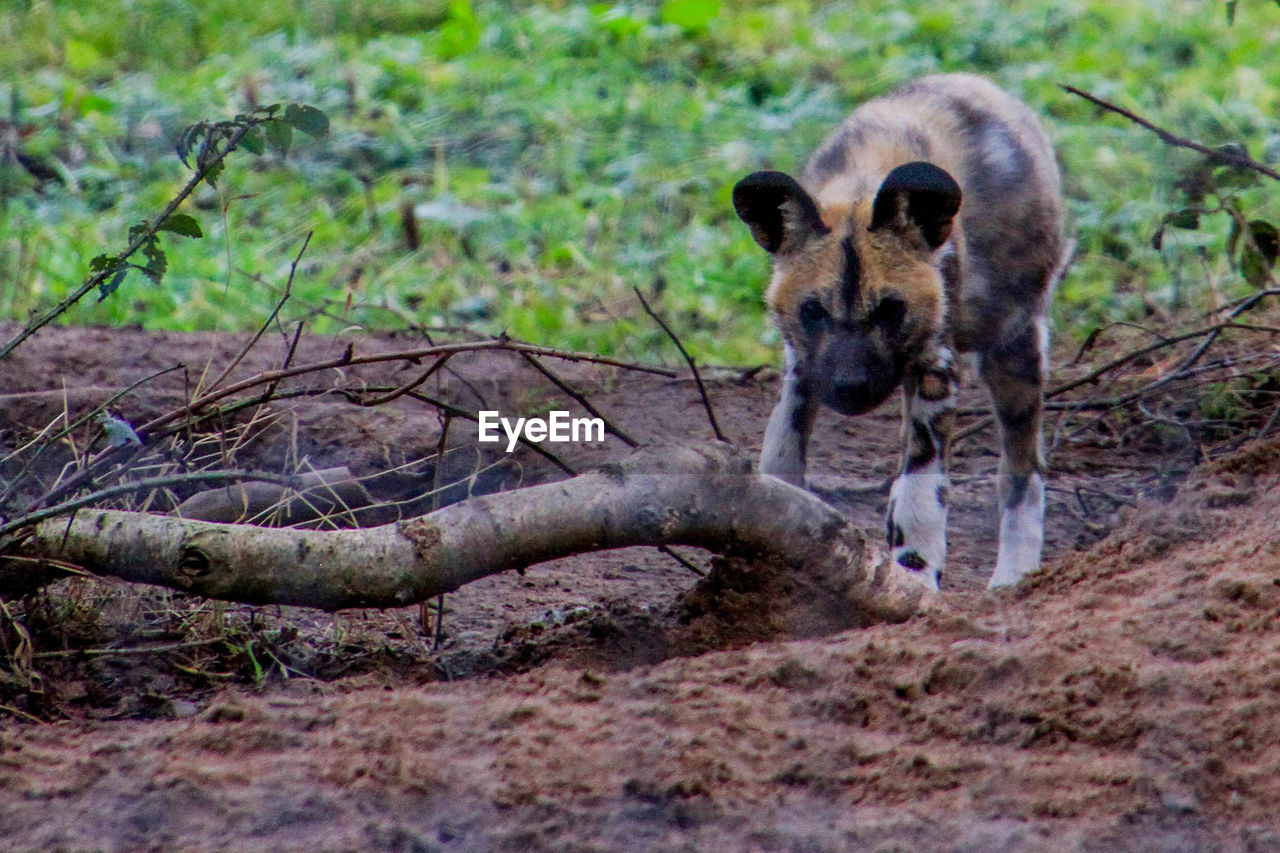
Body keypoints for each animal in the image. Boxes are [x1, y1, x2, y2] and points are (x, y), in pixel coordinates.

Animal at [732, 76, 1070, 589]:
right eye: (813, 312)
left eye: (892, 310)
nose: (850, 387)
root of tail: (986, 87)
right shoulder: (804, 367)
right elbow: (782, 454)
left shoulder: (935, 367)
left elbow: (920, 494)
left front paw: (916, 574)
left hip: (1012, 348)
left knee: (1022, 472)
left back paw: (1014, 576)